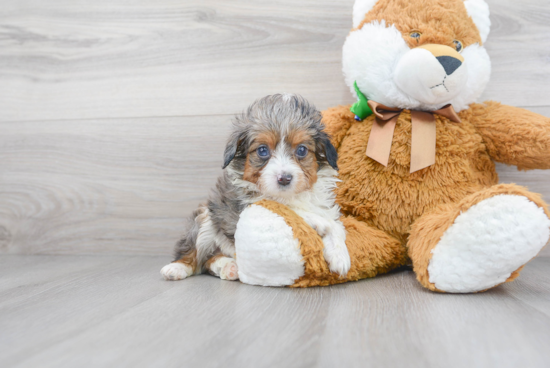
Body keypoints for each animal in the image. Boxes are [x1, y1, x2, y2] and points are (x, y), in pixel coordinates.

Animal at [160, 94, 352, 282]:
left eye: (302, 150)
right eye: (262, 150)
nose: (284, 178)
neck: (288, 195)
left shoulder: (324, 207)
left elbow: (336, 227)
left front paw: (340, 257)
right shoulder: (249, 205)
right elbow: (287, 209)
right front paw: (319, 223)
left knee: (210, 259)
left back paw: (229, 267)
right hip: (205, 217)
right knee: (193, 253)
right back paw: (177, 268)